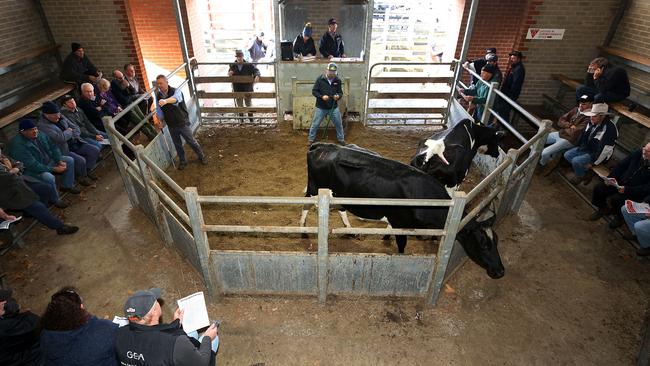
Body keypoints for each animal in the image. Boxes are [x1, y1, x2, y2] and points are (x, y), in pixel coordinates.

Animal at [302, 142, 504, 278]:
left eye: (496, 241)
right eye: (483, 244)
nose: (500, 271)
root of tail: (322, 145)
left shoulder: (395, 219)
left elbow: (390, 230)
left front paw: (385, 237)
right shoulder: (401, 222)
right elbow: (401, 244)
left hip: (337, 193)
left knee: (340, 209)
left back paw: (350, 230)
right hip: (314, 189)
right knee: (305, 205)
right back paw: (304, 231)